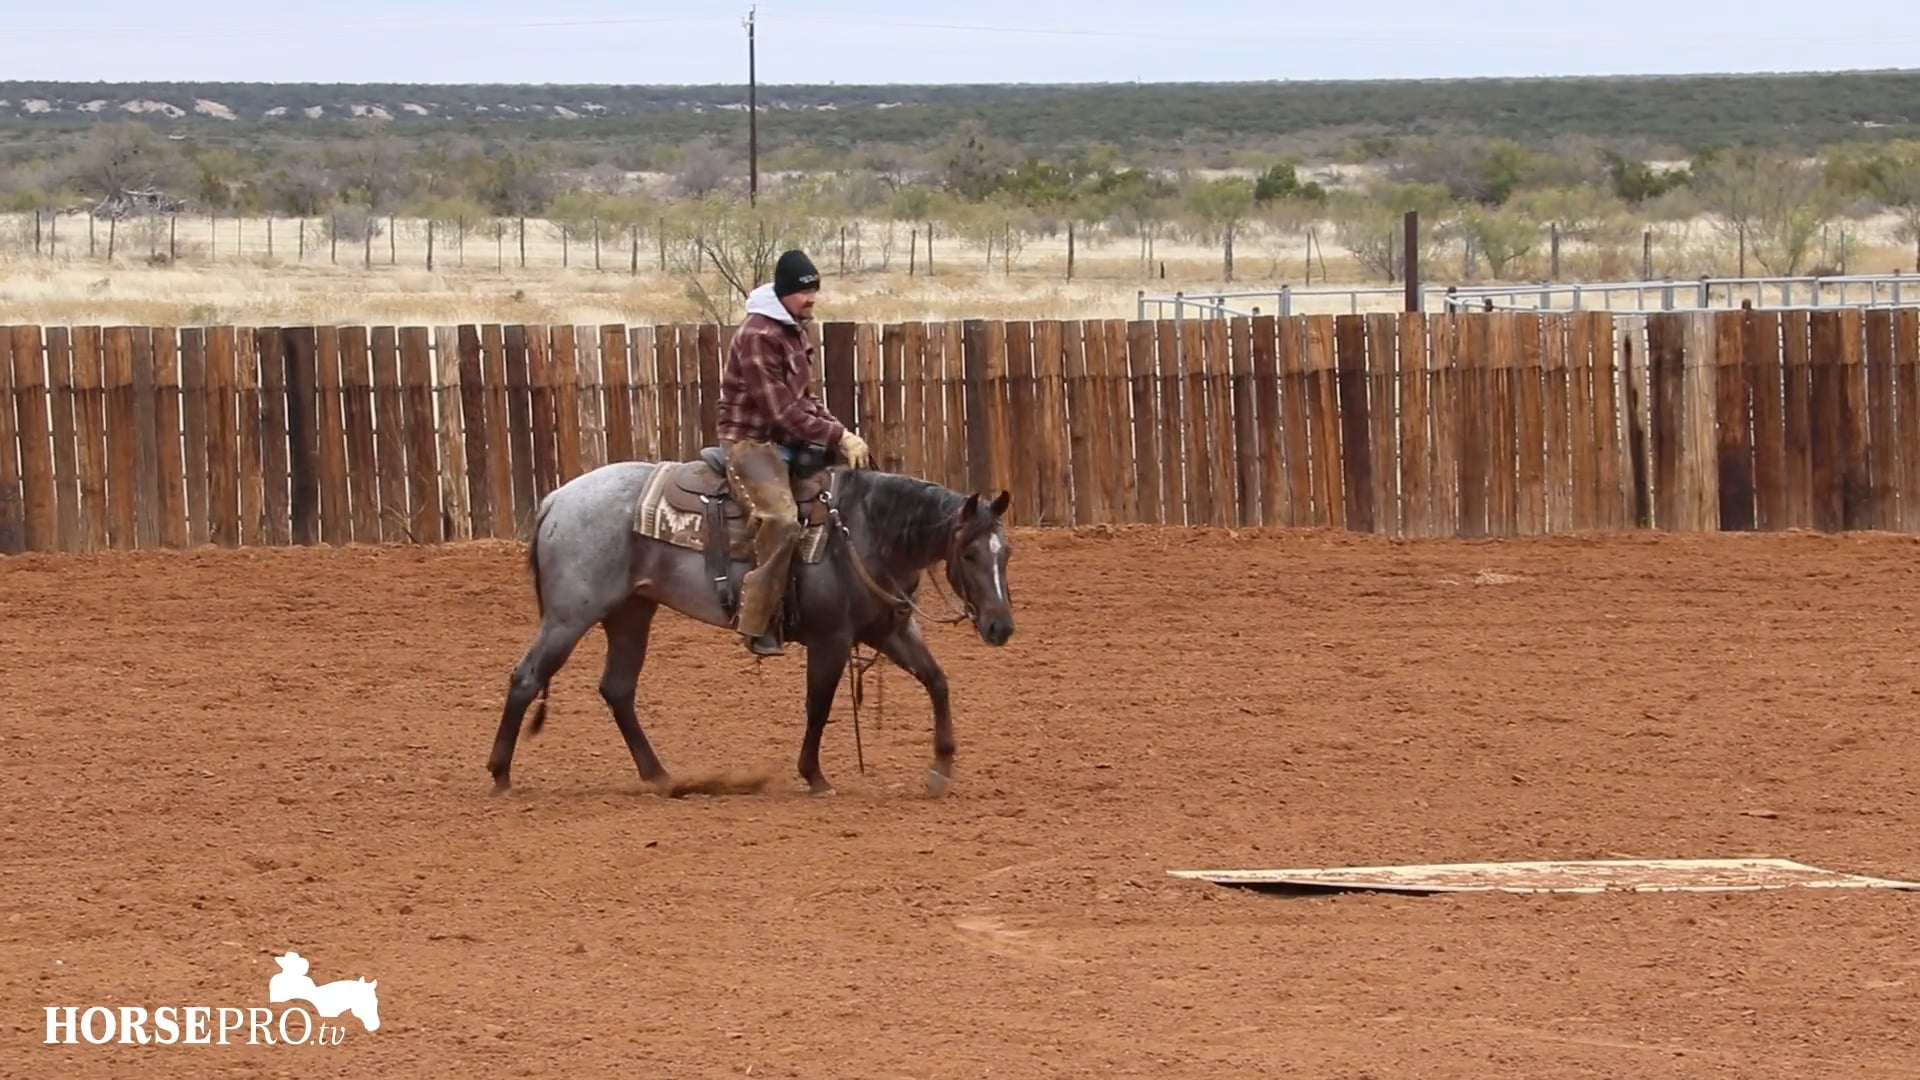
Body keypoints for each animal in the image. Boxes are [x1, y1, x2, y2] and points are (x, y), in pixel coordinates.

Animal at [485, 449, 1016, 799]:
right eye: (969, 553)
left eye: (1005, 552)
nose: (1001, 628)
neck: (864, 530)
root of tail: (557, 499)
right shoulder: (831, 639)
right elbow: (819, 705)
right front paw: (815, 776)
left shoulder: (889, 630)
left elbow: (937, 681)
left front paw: (941, 768)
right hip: (570, 615)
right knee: (527, 677)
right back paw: (500, 776)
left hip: (630, 612)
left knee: (617, 688)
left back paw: (661, 776)